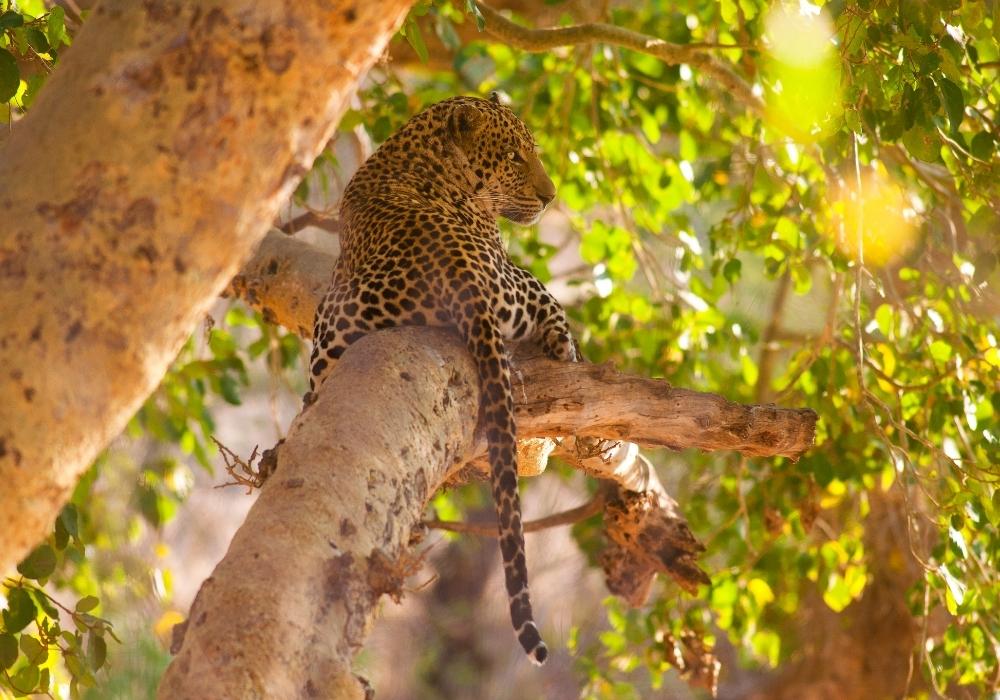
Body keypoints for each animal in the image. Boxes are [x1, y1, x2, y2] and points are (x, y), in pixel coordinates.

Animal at [312, 93, 580, 668]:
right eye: (515, 157)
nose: (549, 197)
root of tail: (459, 272)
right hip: (512, 279)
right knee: (549, 307)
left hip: (334, 327)